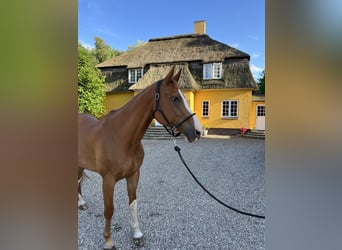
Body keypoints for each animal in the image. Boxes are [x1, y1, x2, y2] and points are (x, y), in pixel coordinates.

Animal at [78, 67, 200, 250]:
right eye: (174, 98)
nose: (197, 131)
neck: (122, 136)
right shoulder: (108, 179)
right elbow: (109, 209)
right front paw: (108, 240)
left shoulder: (134, 174)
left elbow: (133, 204)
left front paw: (137, 234)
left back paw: (81, 203)